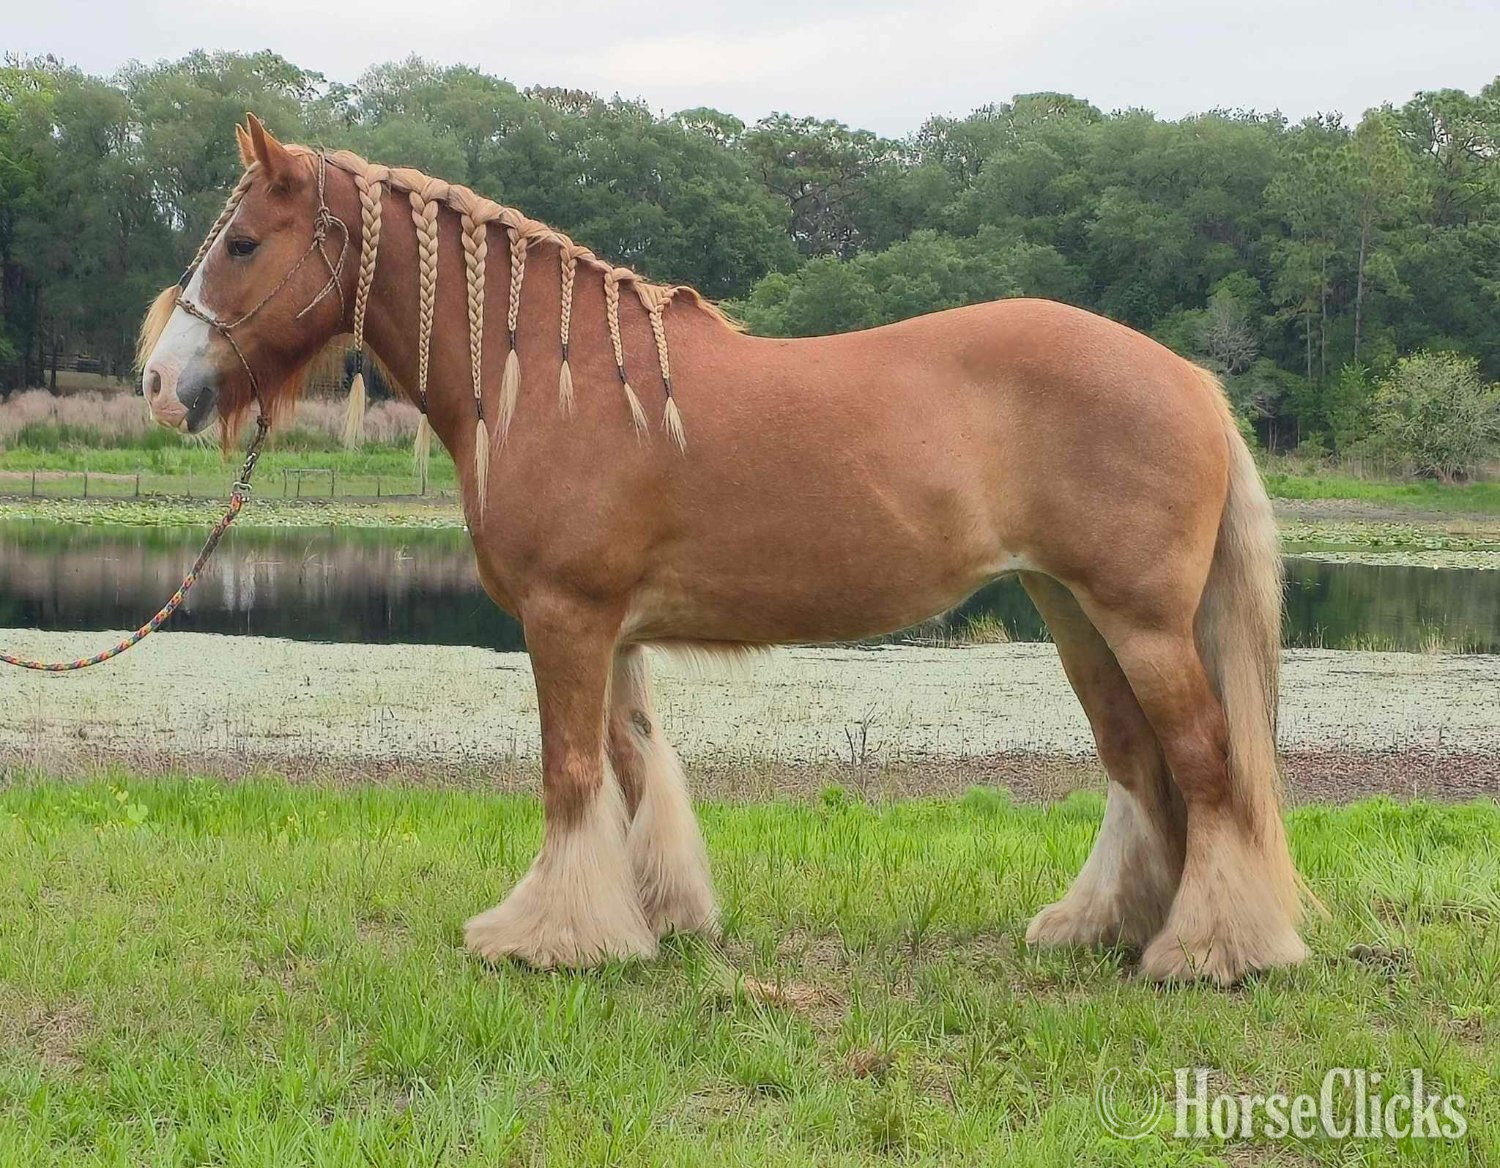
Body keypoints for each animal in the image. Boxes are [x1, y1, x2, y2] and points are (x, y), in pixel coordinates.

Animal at [137, 115, 1310, 984]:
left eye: (242, 244)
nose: (159, 381)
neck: (559, 381)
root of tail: (1189, 380)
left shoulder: (566, 617)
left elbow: (570, 774)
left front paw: (553, 939)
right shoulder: (610, 633)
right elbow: (630, 766)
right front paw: (656, 919)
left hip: (1140, 621)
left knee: (1205, 763)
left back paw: (1213, 950)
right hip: (1074, 615)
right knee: (1140, 764)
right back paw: (1113, 929)